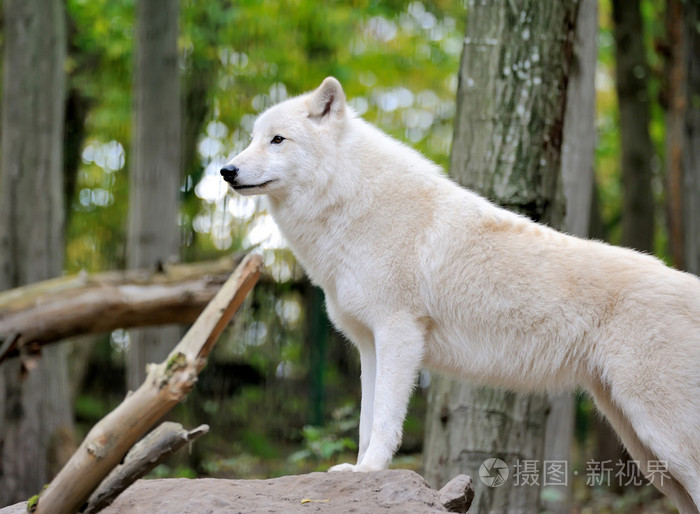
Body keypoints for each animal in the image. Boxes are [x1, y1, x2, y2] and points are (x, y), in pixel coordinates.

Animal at [223, 77, 700, 512]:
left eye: (277, 139)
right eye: (251, 138)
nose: (226, 171)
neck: (351, 201)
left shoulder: (398, 334)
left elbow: (384, 419)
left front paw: (370, 470)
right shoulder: (369, 345)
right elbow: (364, 420)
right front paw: (358, 473)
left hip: (660, 435)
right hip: (642, 443)